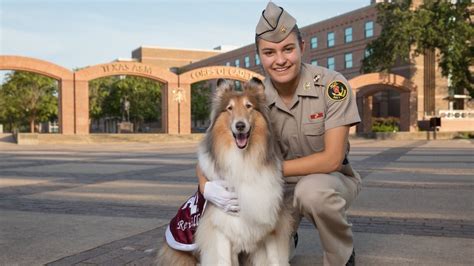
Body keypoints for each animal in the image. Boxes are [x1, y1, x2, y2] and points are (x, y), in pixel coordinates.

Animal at [157, 78, 290, 264]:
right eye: (229, 108)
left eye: (249, 106)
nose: (240, 126)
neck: (244, 158)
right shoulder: (219, 228)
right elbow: (223, 260)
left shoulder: (268, 223)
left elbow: (274, 258)